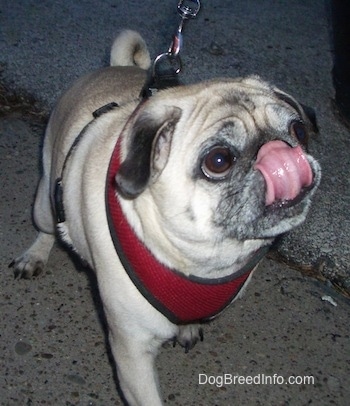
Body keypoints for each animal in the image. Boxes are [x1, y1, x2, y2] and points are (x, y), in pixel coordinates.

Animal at [10, 30, 322, 404]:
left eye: (299, 131)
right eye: (219, 160)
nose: (279, 151)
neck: (206, 259)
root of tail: (114, 68)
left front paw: (188, 326)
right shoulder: (132, 351)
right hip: (45, 200)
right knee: (47, 226)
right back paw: (35, 255)